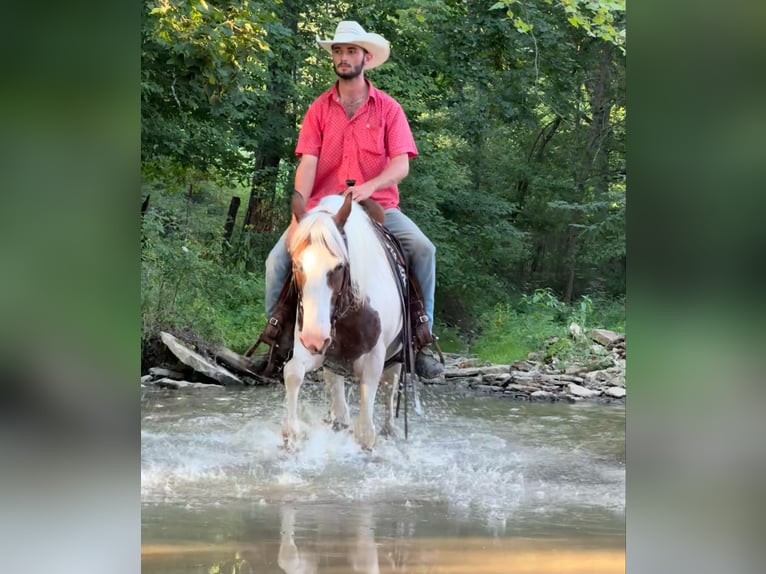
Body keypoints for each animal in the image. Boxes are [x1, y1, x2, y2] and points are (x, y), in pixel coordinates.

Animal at [280, 195, 402, 454]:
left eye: (338, 267)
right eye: (296, 264)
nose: (315, 337)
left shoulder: (374, 360)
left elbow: (365, 431)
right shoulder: (312, 346)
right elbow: (293, 372)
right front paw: (291, 434)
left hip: (396, 357)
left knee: (389, 389)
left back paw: (390, 430)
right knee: (337, 396)